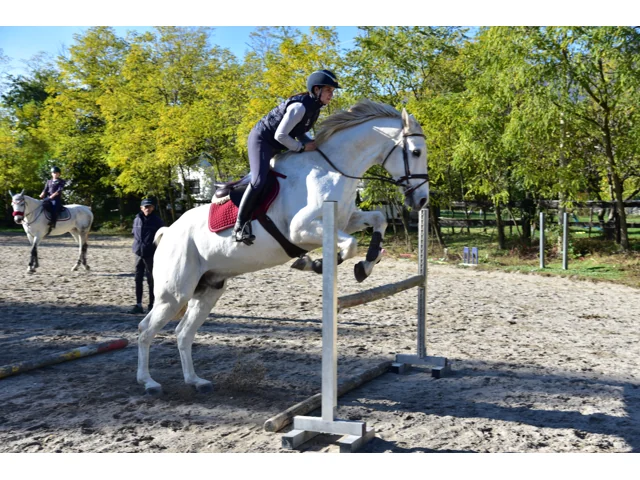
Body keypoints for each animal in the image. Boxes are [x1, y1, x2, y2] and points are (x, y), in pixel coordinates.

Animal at [137, 99, 430, 394]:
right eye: (416, 152)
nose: (422, 201)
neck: (332, 170)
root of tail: (168, 232)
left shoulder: (346, 221)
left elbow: (379, 219)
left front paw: (365, 265)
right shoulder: (301, 230)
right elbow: (350, 244)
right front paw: (316, 263)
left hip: (208, 290)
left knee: (183, 333)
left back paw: (195, 380)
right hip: (174, 294)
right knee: (145, 330)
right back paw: (148, 382)